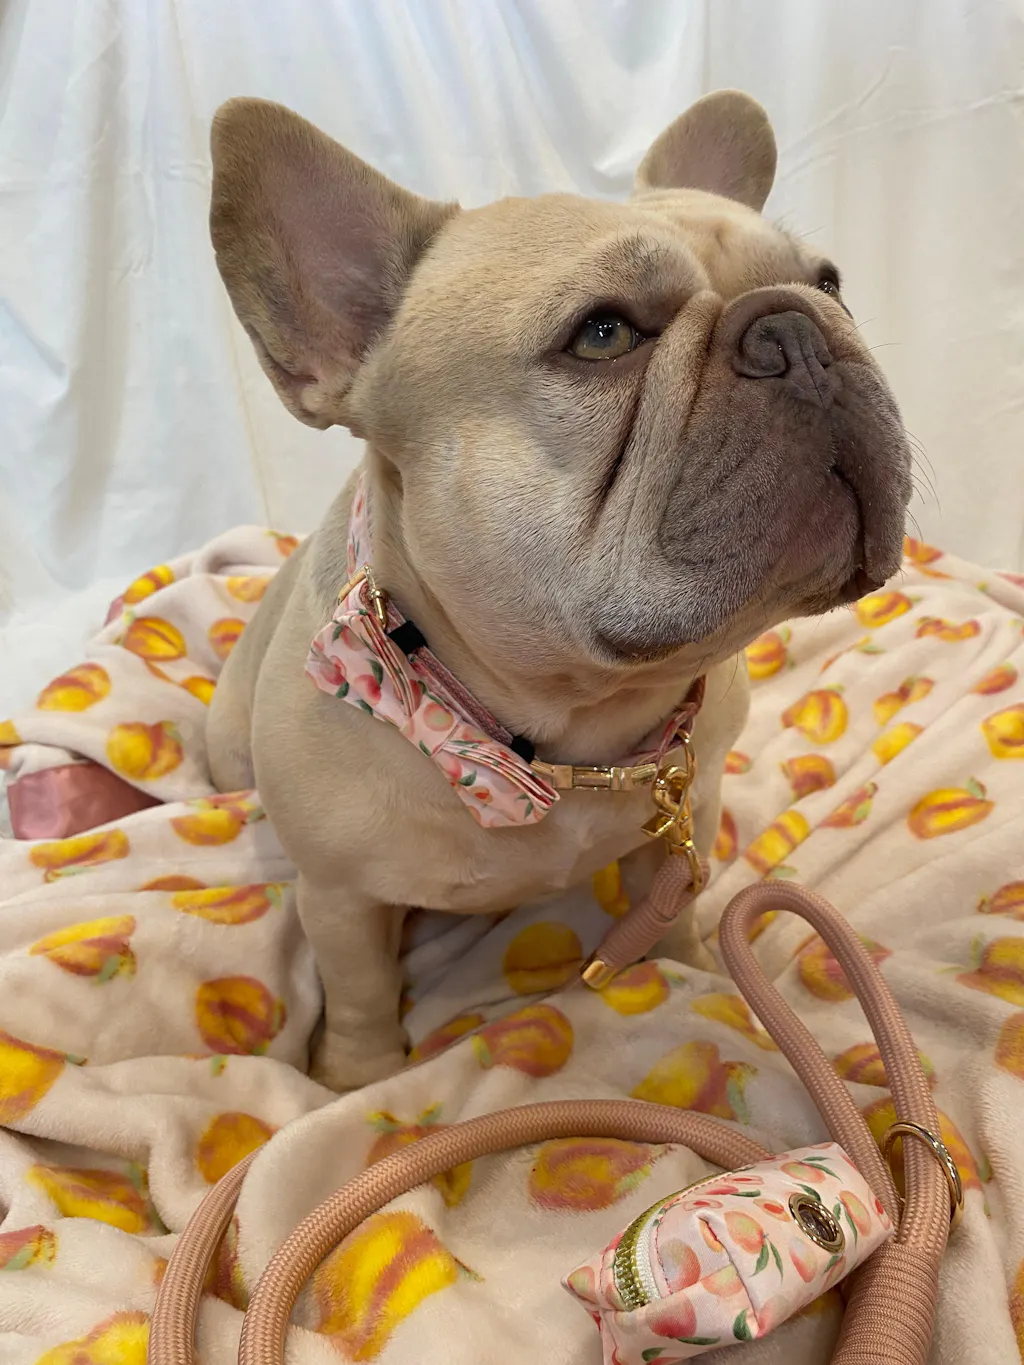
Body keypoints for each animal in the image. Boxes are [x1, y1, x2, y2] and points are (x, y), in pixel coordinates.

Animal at [205, 90, 911, 1092]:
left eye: (833, 281)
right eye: (603, 334)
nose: (798, 326)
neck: (563, 733)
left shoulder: (687, 814)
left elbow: (680, 907)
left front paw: (699, 971)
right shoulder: (338, 898)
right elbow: (358, 989)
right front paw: (356, 1080)